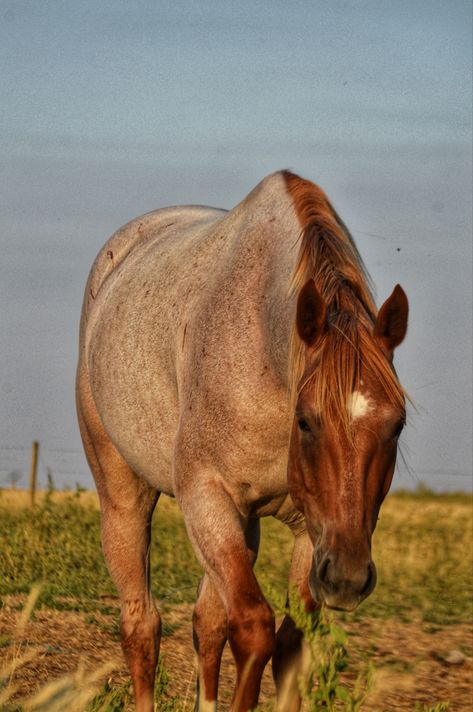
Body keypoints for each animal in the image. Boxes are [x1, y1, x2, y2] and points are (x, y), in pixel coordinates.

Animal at [76, 171, 406, 712]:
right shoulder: (207, 498)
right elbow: (252, 628)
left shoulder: (311, 532)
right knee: (142, 625)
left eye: (396, 424)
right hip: (126, 499)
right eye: (307, 421)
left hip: (245, 529)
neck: (268, 360)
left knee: (207, 624)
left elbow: (291, 643)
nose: (348, 578)